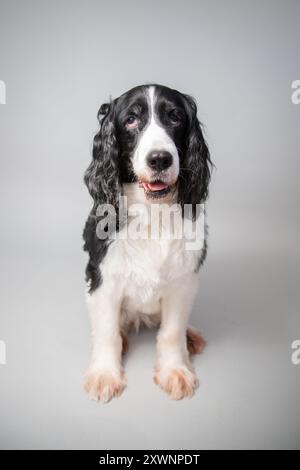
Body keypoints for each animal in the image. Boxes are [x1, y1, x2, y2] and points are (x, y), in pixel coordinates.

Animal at [83, 83, 212, 400]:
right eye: (131, 119)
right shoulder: (103, 278)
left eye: (175, 117)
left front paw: (174, 370)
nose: (160, 159)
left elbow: (172, 332)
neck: (153, 214)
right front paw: (105, 374)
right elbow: (106, 331)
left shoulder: (183, 280)